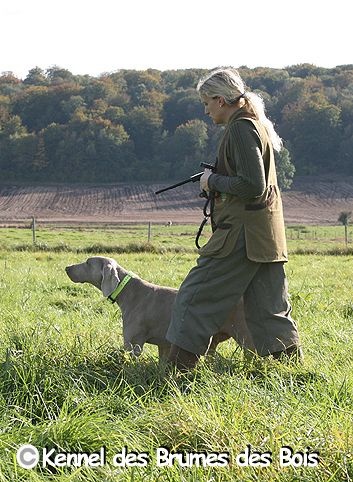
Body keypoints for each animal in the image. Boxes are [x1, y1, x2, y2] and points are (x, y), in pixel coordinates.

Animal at [65, 256, 253, 362]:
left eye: (88, 263)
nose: (67, 268)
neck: (129, 291)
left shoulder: (132, 343)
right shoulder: (163, 345)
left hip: (246, 338)